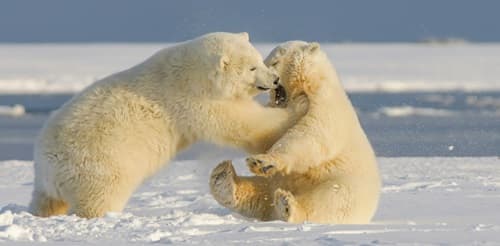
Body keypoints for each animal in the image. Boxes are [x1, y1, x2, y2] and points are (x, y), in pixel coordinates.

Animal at [30, 31, 308, 218]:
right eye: (252, 68)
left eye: (260, 60)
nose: (275, 80)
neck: (192, 72)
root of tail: (47, 163)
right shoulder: (193, 100)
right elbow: (244, 123)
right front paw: (300, 105)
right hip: (100, 164)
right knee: (99, 198)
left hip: (51, 182)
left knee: (46, 201)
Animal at [209, 41, 380, 224]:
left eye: (274, 62)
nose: (270, 80)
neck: (311, 85)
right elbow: (266, 133)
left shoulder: (327, 106)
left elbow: (310, 135)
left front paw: (262, 161)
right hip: (275, 182)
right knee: (259, 192)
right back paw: (223, 179)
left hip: (342, 185)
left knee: (329, 201)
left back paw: (286, 205)